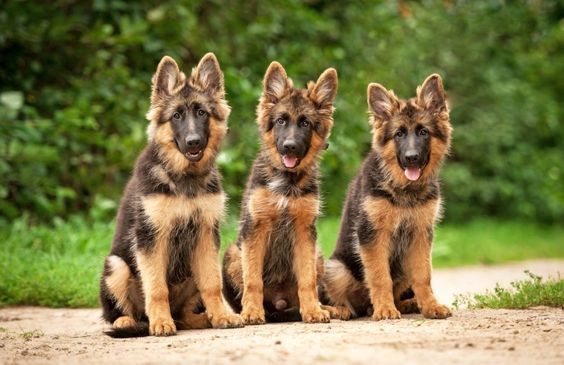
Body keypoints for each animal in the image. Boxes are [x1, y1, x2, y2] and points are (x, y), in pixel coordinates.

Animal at [99, 52, 242, 336]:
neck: (185, 177)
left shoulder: (206, 235)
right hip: (116, 266)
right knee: (118, 312)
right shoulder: (151, 238)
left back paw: (200, 319)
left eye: (201, 112)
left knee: (184, 314)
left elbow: (212, 283)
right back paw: (129, 321)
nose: (193, 142)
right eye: (176, 116)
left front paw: (221, 315)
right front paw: (161, 323)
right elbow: (156, 288)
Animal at [224, 61, 340, 322]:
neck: (287, 183)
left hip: (318, 255)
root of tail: (279, 302)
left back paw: (323, 307)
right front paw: (252, 311)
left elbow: (307, 280)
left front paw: (312, 311)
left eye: (305, 123)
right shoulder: (255, 229)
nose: (290, 147)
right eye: (281, 121)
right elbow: (253, 279)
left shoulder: (304, 231)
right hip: (233, 253)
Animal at [324, 74, 452, 318]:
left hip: (402, 267)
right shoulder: (373, 235)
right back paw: (342, 310)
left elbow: (423, 275)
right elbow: (379, 276)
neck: (404, 189)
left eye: (423, 132)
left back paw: (408, 304)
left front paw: (430, 306)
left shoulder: (420, 235)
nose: (412, 158)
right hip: (336, 268)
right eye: (399, 134)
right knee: (345, 299)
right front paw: (384, 308)